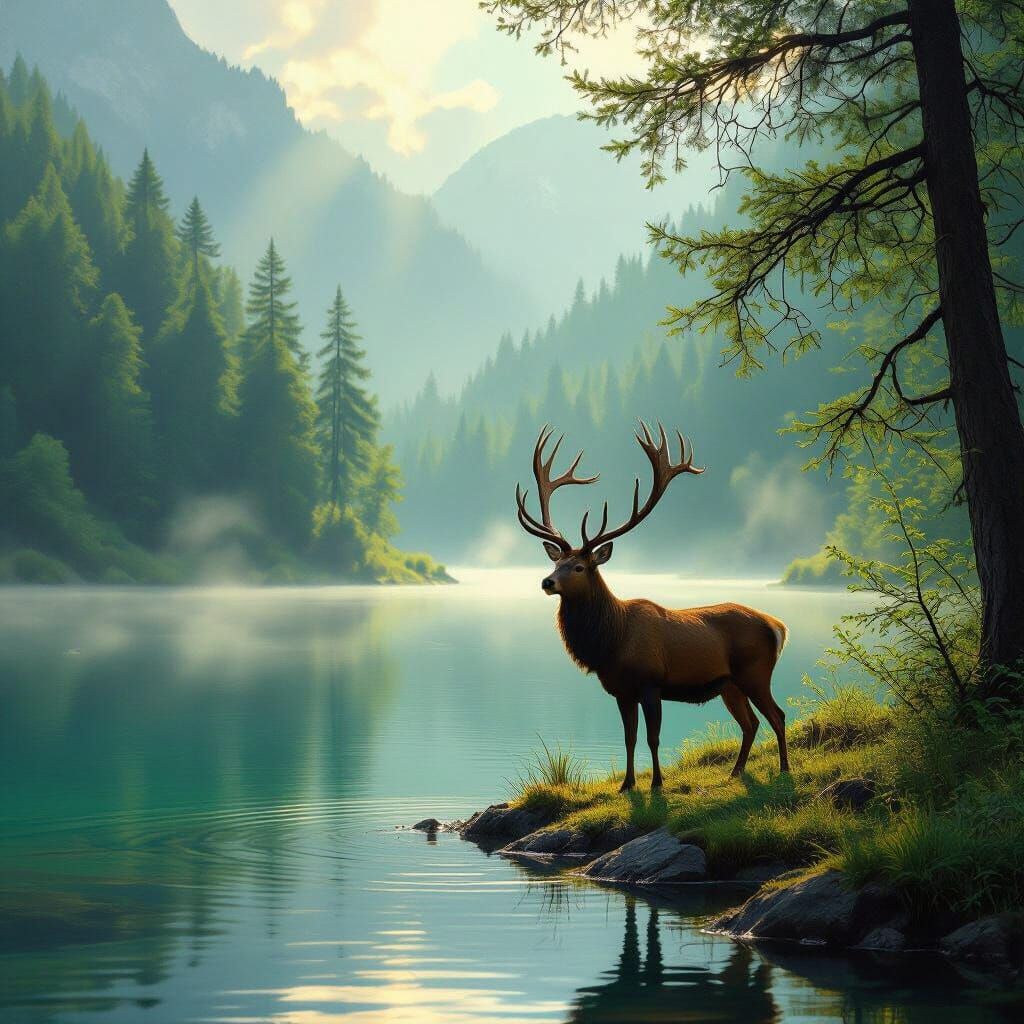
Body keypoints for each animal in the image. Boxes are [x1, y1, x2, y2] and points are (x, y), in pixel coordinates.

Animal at [515, 423, 790, 791]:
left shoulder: (651, 682)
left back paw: (785, 769)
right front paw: (627, 784)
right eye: (556, 561)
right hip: (729, 684)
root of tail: (777, 626)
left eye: (580, 567)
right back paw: (735, 772)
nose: (547, 582)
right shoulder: (621, 691)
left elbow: (653, 738)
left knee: (777, 715)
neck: (611, 643)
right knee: (750, 723)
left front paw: (657, 783)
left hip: (756, 673)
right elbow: (629, 738)